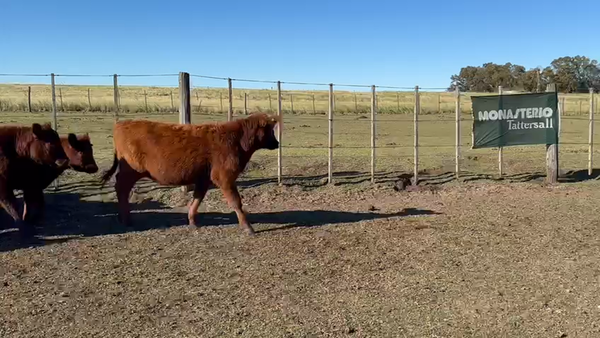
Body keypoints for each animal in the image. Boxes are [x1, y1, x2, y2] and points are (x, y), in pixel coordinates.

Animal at [101, 113, 282, 235]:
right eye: (270, 130)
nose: (277, 143)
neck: (236, 138)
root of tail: (122, 124)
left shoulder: (204, 179)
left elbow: (197, 199)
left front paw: (192, 221)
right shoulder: (224, 177)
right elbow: (236, 202)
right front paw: (247, 227)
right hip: (131, 171)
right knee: (121, 188)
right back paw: (126, 219)